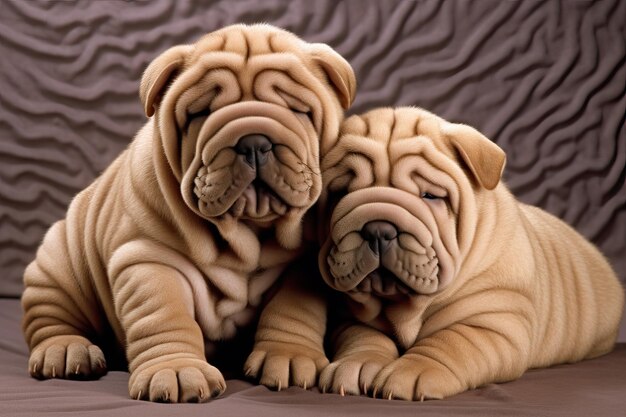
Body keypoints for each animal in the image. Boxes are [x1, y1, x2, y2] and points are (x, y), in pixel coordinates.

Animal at [20, 24, 356, 402]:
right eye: (200, 114)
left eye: (300, 111)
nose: (254, 141)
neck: (243, 233)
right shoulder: (148, 260)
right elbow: (165, 315)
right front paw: (176, 370)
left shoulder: (305, 264)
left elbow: (293, 309)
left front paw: (291, 356)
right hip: (57, 268)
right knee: (50, 317)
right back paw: (64, 351)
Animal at [246, 105, 620, 398]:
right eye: (340, 193)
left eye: (430, 196)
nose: (379, 229)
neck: (405, 307)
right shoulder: (353, 317)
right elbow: (365, 339)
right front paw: (359, 364)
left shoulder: (491, 321)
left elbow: (449, 344)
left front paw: (409, 372)